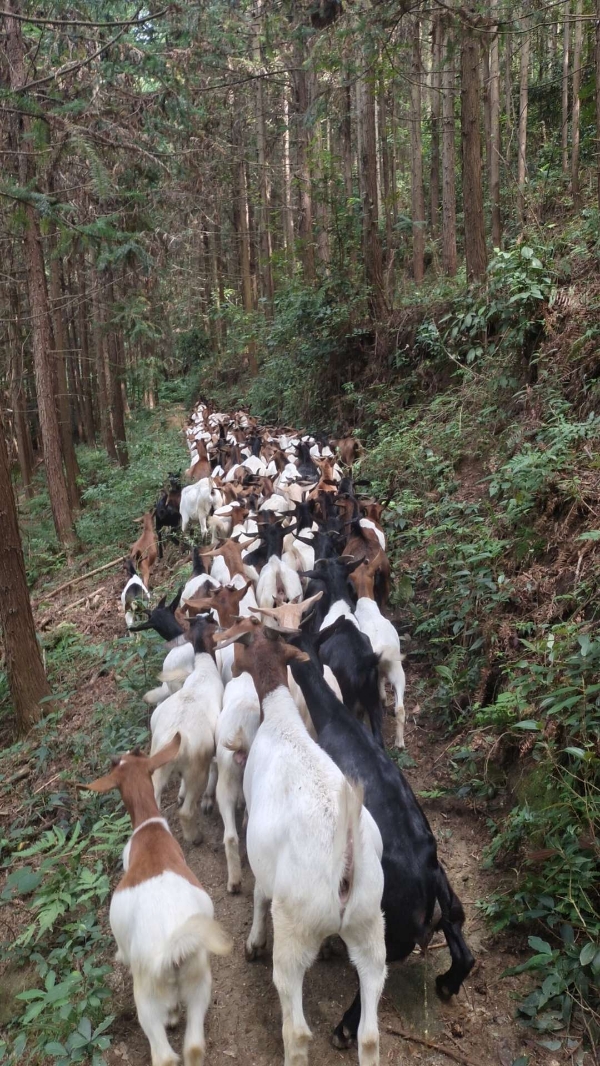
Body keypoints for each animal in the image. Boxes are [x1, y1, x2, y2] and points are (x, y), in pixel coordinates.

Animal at [83, 737, 233, 1066]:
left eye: (120, 763)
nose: (115, 755)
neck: (149, 829)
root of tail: (172, 951)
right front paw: (175, 1016)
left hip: (147, 996)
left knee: (164, 1054)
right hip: (199, 981)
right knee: (193, 1045)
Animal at [216, 622, 390, 1066]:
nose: (233, 670)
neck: (281, 719)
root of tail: (345, 857)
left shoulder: (262, 854)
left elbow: (258, 894)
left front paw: (253, 942)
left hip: (295, 929)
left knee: (296, 1031)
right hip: (369, 924)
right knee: (369, 1034)